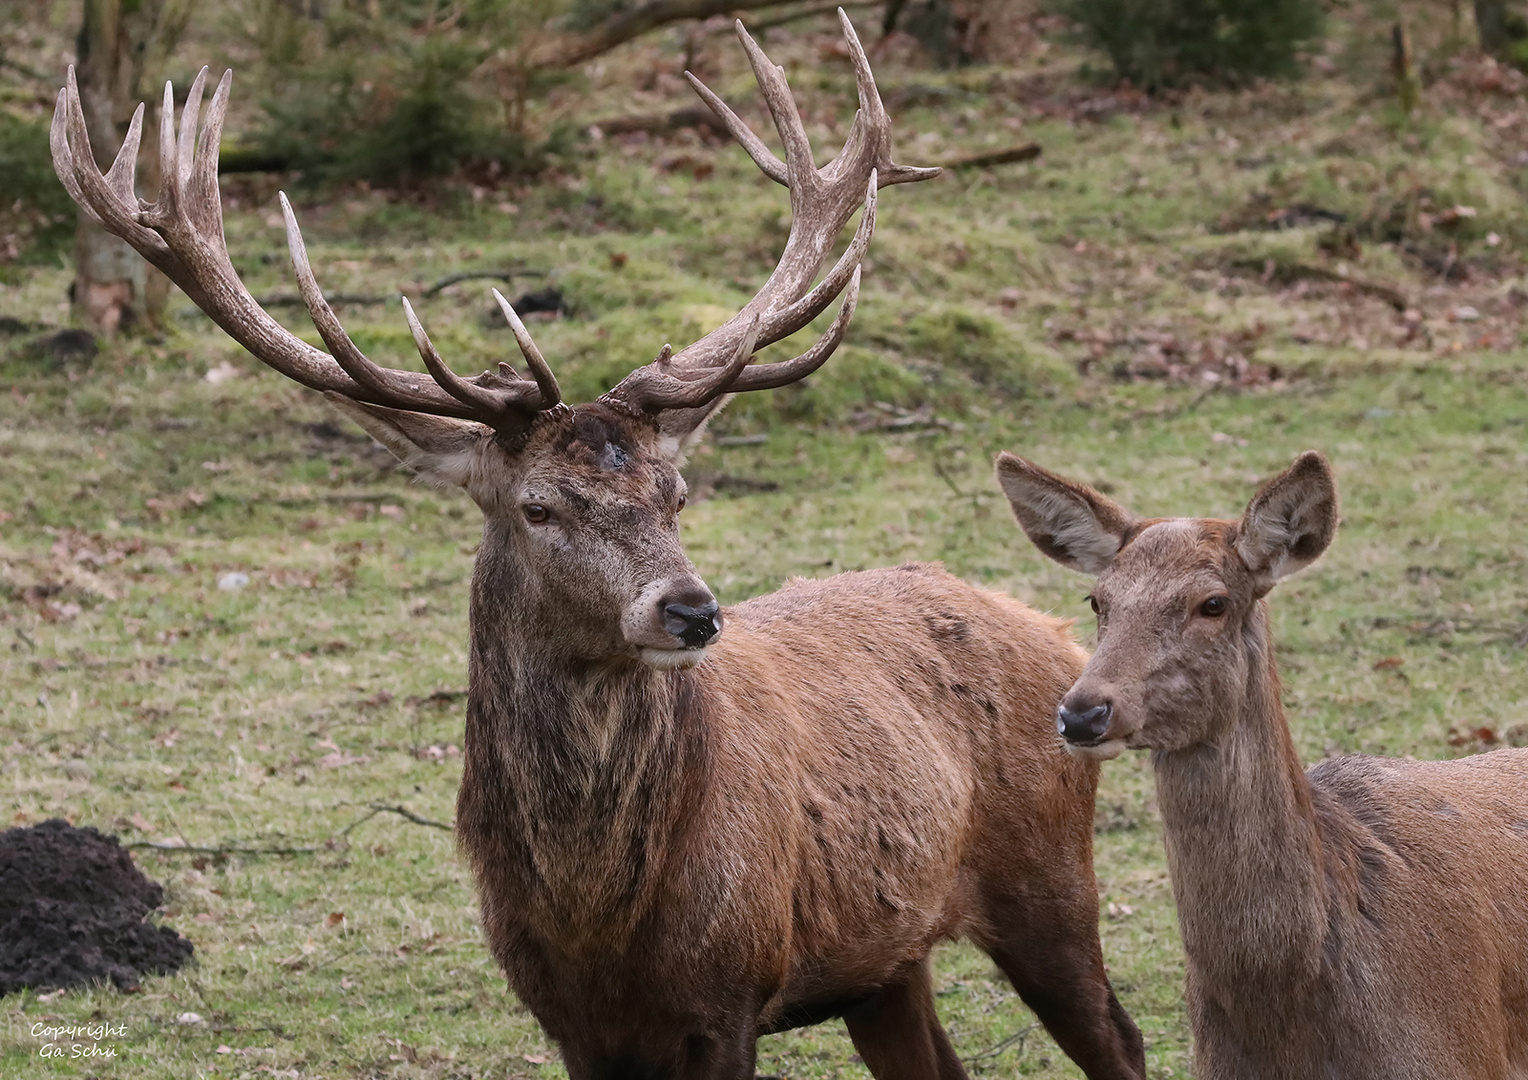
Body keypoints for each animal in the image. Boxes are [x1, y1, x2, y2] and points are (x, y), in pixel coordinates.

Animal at [53, 16, 1142, 1080]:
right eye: (538, 508)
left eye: (676, 492)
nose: (691, 610)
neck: (599, 924)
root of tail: (1049, 628)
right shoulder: (567, 1021)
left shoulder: (730, 996)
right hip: (885, 958)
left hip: (1048, 878)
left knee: (1120, 1037)